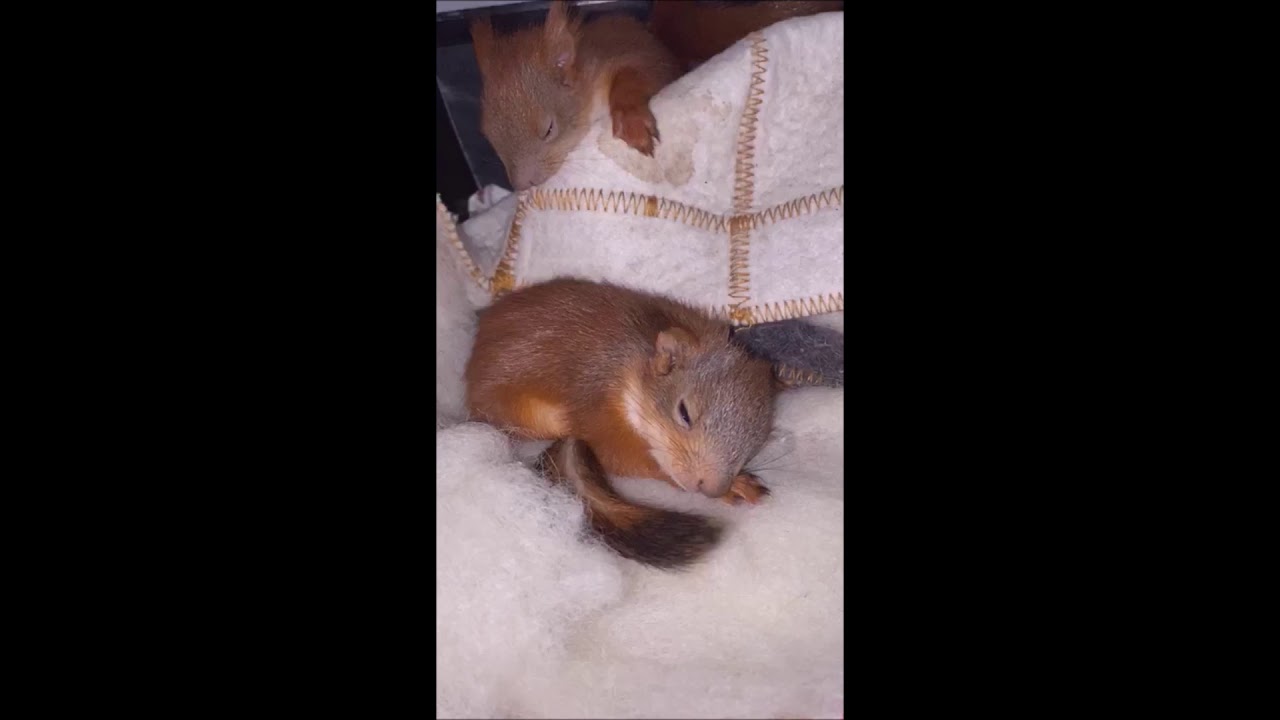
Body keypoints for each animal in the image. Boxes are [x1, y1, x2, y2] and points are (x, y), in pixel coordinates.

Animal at [465, 278, 780, 568]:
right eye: (684, 413)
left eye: (758, 438)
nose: (711, 488)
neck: (636, 367)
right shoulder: (598, 406)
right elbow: (623, 458)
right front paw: (734, 487)